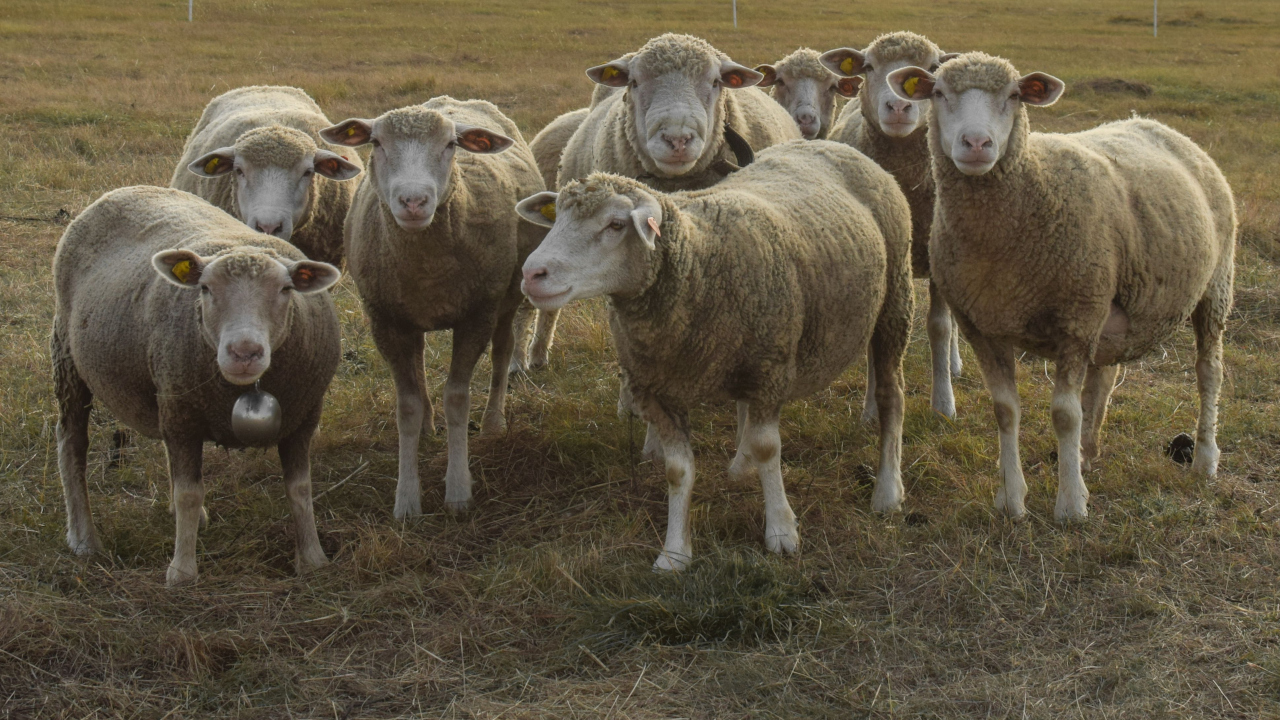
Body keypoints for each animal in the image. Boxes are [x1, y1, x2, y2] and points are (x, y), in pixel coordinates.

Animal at [52, 186, 342, 586]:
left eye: (286, 289)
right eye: (204, 288)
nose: (244, 352)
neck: (246, 387)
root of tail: (126, 188)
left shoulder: (302, 417)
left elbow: (299, 488)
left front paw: (313, 559)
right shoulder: (183, 418)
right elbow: (189, 492)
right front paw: (182, 571)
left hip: (165, 390)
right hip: (69, 359)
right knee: (72, 445)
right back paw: (83, 537)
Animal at [320, 97, 545, 517]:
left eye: (451, 145)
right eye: (376, 143)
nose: (413, 201)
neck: (426, 272)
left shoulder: (476, 315)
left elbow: (457, 399)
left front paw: (458, 491)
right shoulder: (385, 320)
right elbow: (405, 407)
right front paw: (407, 500)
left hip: (504, 298)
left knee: (503, 350)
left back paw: (494, 421)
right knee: (421, 358)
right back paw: (428, 423)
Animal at [515, 139, 914, 570]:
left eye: (616, 225)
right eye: (556, 219)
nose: (531, 274)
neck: (697, 259)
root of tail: (828, 143)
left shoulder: (769, 370)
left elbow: (768, 448)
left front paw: (781, 531)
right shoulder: (657, 390)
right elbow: (678, 471)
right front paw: (674, 552)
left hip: (895, 298)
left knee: (892, 395)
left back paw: (887, 491)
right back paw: (742, 465)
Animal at [820, 32, 963, 419]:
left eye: (932, 68)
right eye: (868, 67)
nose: (898, 107)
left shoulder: (936, 254)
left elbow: (940, 327)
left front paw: (943, 402)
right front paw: (871, 409)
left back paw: (954, 363)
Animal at [886, 52, 1236, 521]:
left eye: (1014, 95)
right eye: (939, 92)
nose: (976, 144)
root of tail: (1156, 126)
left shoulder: (1075, 320)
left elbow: (1064, 415)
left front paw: (1070, 504)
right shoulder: (984, 326)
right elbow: (1005, 410)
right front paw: (1011, 498)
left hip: (1214, 286)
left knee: (1208, 371)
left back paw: (1204, 459)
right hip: (1108, 306)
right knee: (1105, 376)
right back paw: (1087, 452)